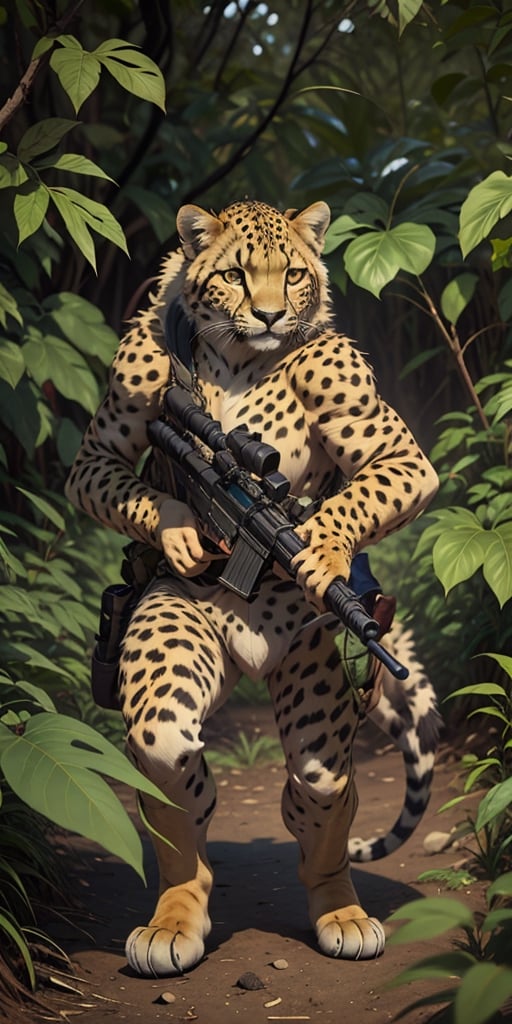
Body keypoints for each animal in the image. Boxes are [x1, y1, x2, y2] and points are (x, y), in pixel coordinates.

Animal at [65, 198, 440, 977]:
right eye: (236, 275)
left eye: (293, 275)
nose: (269, 315)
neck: (238, 358)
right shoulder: (128, 385)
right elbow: (96, 463)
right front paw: (180, 526)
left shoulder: (348, 382)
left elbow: (398, 464)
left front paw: (321, 553)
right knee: (172, 762)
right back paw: (176, 915)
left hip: (313, 679)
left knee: (320, 784)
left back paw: (339, 908)